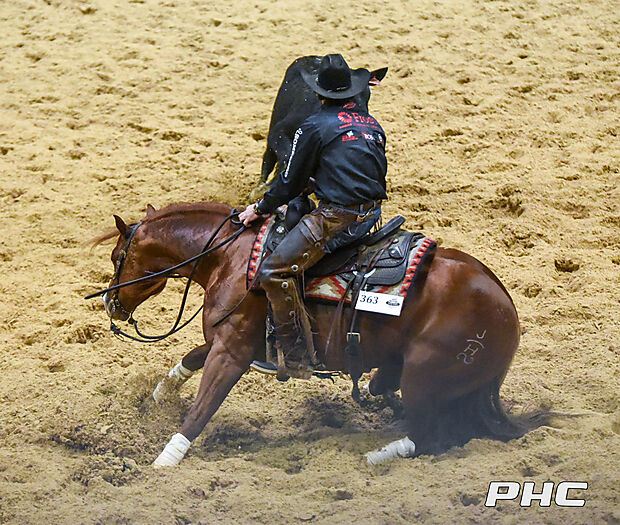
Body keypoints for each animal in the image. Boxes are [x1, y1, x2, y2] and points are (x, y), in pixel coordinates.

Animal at [90, 201, 529, 467]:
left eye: (116, 257)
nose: (110, 304)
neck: (229, 258)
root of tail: (506, 306)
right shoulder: (229, 341)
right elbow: (189, 359)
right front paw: (154, 399)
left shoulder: (231, 352)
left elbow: (201, 409)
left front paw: (163, 461)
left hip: (423, 377)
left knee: (432, 437)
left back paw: (377, 455)